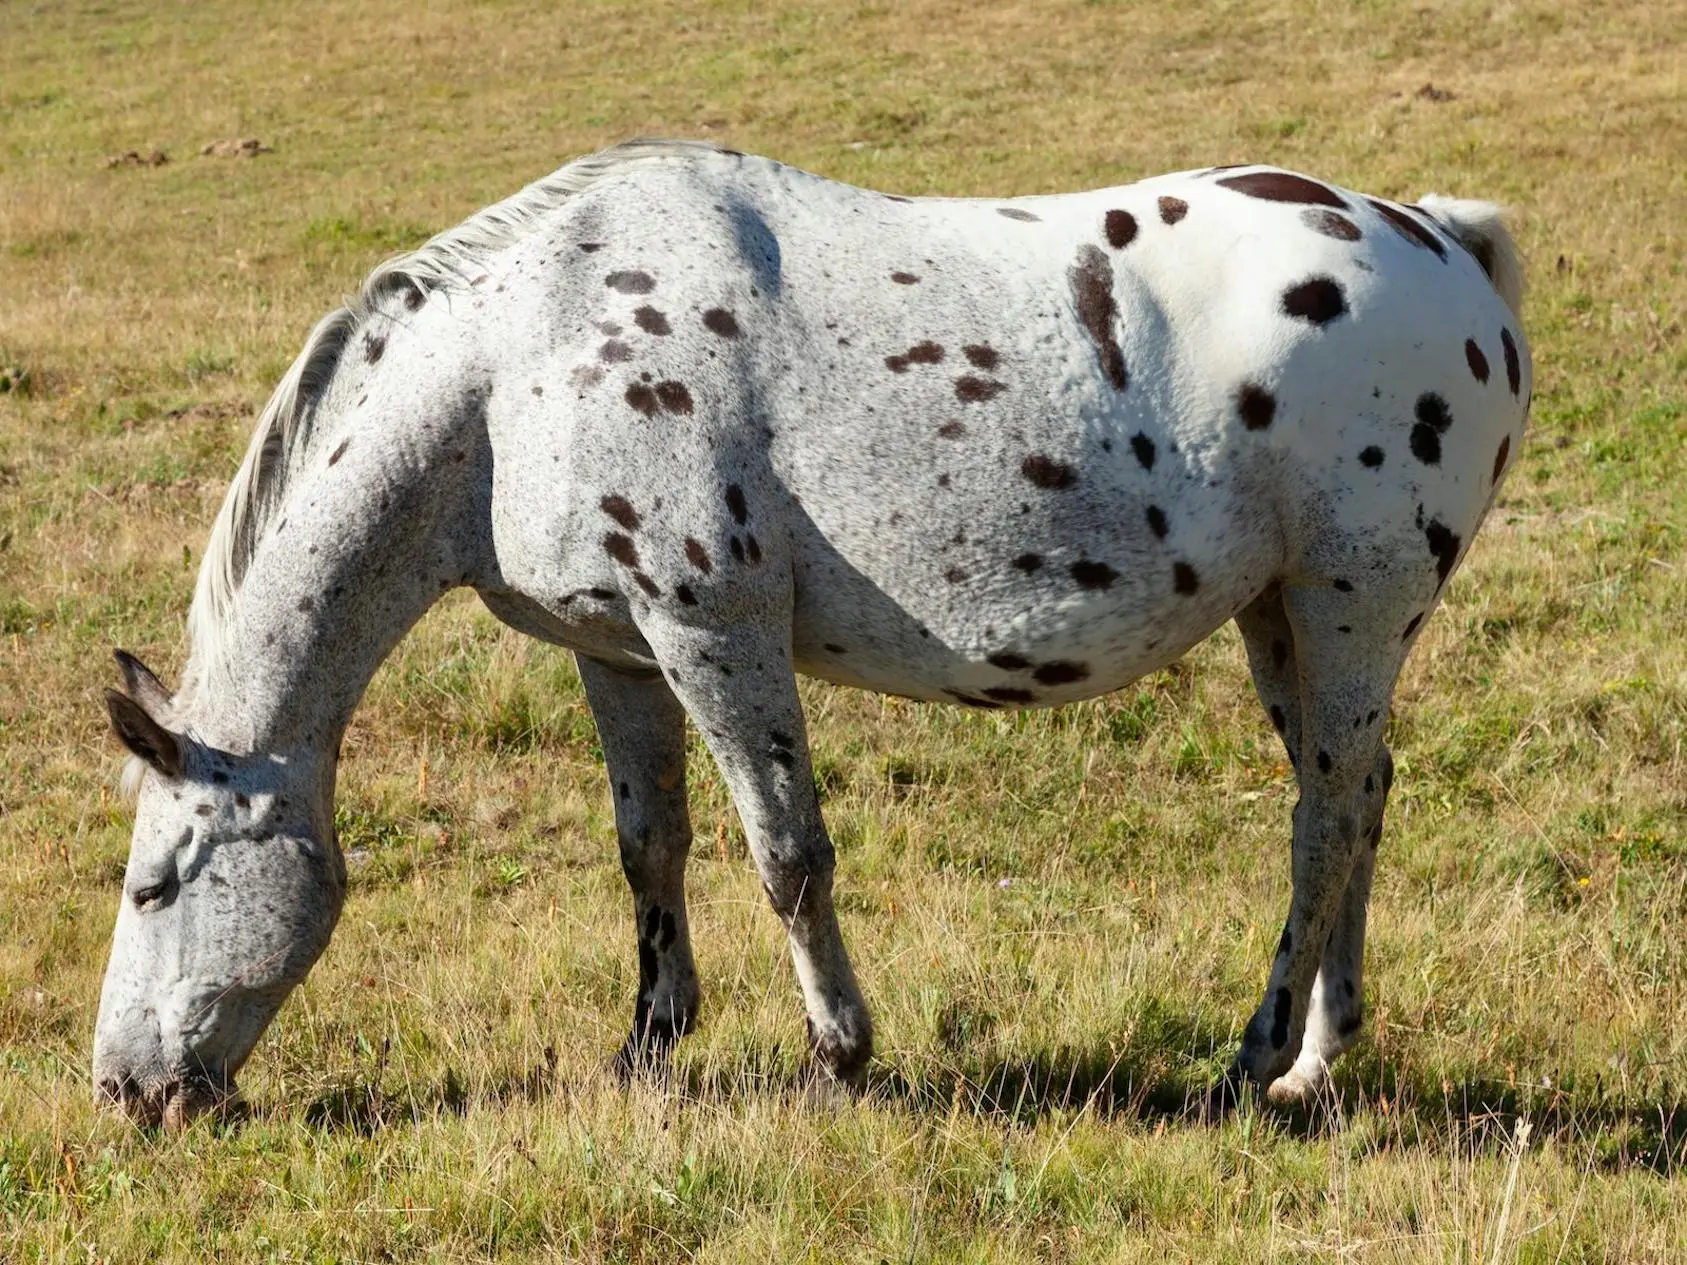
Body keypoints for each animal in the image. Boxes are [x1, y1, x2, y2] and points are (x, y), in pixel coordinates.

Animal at [88, 138, 1531, 1126]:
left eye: (155, 884)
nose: (126, 1089)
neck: (519, 364)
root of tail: (1441, 240)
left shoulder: (712, 632)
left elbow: (785, 852)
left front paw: (840, 1051)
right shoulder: (616, 651)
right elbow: (650, 845)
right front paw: (648, 1045)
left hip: (1349, 605)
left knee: (1324, 821)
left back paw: (1255, 1057)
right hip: (1283, 618)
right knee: (1357, 800)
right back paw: (1317, 1057)